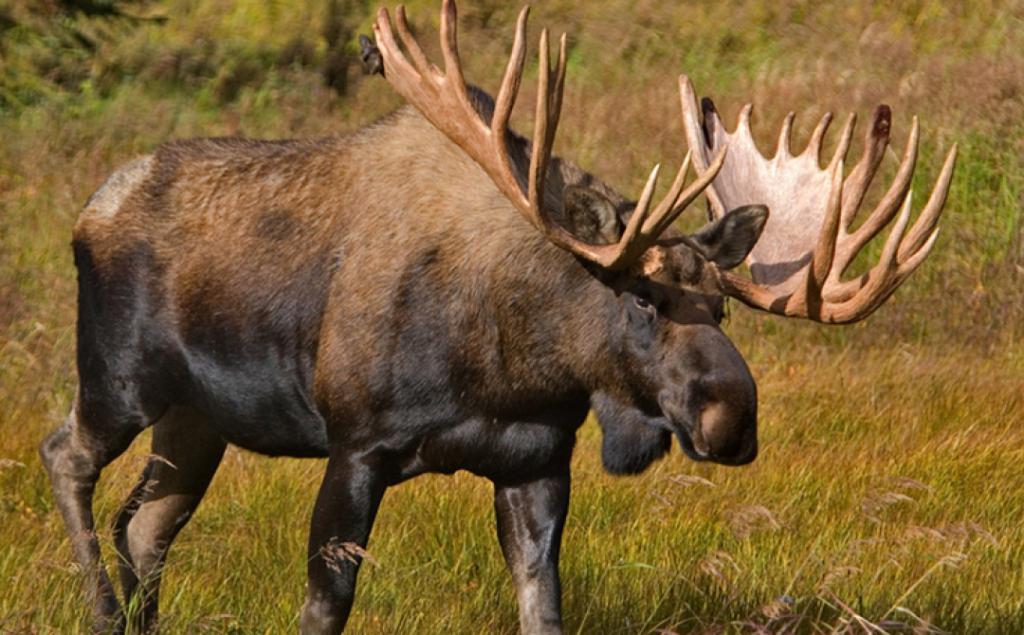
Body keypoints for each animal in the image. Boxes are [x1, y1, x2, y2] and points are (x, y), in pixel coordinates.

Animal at [37, 2, 950, 630]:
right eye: (642, 298)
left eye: (724, 304)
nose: (733, 419)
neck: (513, 362)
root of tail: (87, 211)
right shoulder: (357, 442)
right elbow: (326, 602)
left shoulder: (535, 462)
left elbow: (543, 604)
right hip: (119, 382)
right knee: (66, 455)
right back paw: (103, 611)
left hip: (197, 419)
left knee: (146, 524)